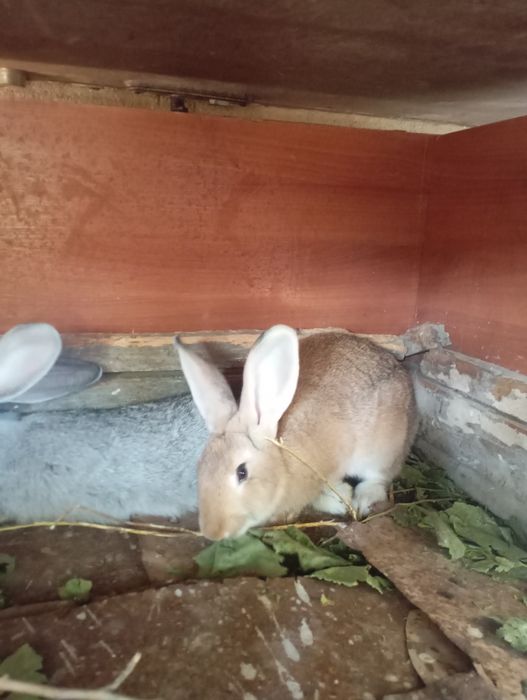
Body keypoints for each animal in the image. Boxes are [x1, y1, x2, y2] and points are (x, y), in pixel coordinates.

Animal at [176, 325, 418, 540]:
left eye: (242, 472)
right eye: (200, 467)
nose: (213, 533)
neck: (282, 462)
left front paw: (342, 500)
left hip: (381, 450)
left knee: (379, 478)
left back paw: (363, 499)